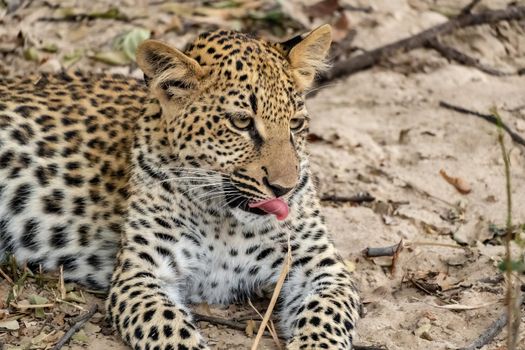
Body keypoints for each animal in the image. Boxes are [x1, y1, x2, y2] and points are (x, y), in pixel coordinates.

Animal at [0, 25, 360, 350]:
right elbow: (171, 330)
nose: (284, 189)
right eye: (241, 122)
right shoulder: (141, 275)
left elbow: (326, 318)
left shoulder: (323, 267)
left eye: (295, 124)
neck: (225, 221)